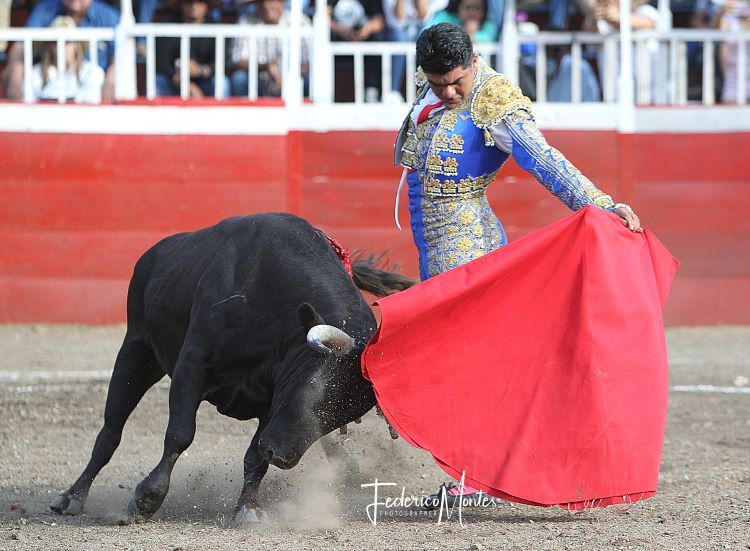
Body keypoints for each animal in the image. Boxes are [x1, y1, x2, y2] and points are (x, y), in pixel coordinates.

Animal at [49, 213, 414, 523]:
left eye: (344, 416)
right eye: (313, 386)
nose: (281, 454)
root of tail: (153, 254)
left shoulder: (272, 400)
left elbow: (254, 456)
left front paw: (248, 509)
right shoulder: (192, 366)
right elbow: (180, 434)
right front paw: (146, 499)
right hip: (136, 350)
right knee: (111, 431)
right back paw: (72, 497)